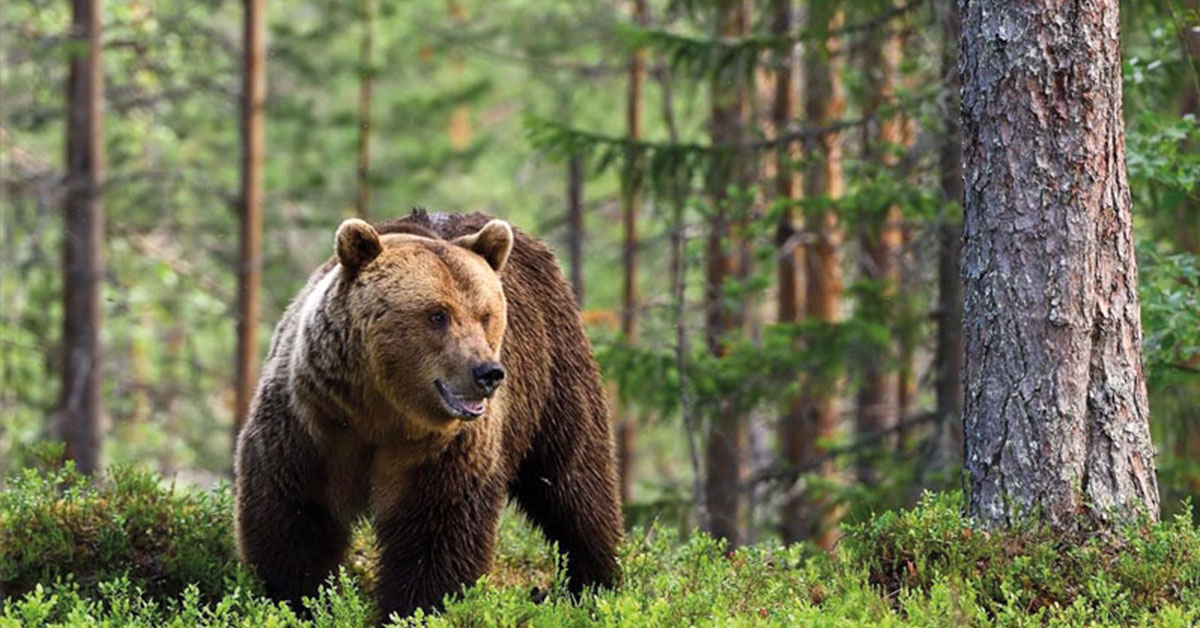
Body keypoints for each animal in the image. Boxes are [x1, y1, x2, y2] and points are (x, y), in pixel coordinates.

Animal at [236, 210, 628, 619]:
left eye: (485, 315)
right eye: (438, 314)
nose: (487, 372)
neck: (381, 411)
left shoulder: (442, 450)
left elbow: (436, 533)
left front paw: (414, 607)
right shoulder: (313, 424)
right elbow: (296, 517)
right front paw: (297, 599)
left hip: (553, 373)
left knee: (575, 481)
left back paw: (593, 583)